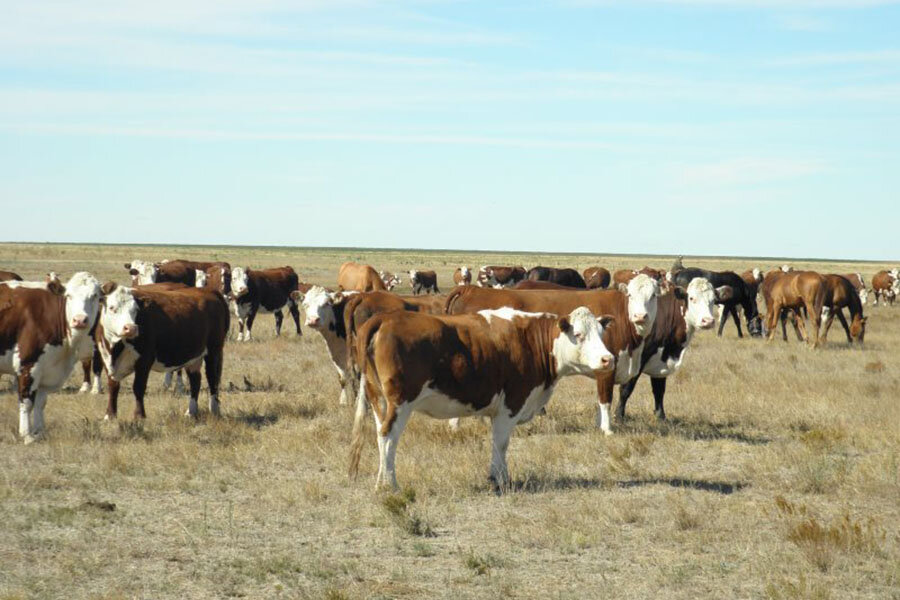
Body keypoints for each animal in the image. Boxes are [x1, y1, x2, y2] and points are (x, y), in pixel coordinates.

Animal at [0, 272, 101, 440]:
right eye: (69, 296)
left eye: (95, 296)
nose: (80, 320)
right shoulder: (28, 364)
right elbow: (26, 401)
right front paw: (26, 434)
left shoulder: (47, 368)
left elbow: (41, 403)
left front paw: (39, 431)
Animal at [94, 284, 227, 420]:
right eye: (112, 307)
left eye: (136, 309)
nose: (131, 328)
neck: (115, 348)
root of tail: (207, 290)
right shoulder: (106, 359)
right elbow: (113, 386)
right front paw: (110, 415)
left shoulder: (144, 360)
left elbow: (138, 387)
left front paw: (139, 416)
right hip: (194, 356)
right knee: (195, 380)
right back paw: (191, 412)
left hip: (213, 351)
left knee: (212, 378)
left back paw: (214, 410)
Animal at [348, 308, 616, 490]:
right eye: (578, 335)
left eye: (602, 333)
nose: (608, 359)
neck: (531, 341)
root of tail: (385, 318)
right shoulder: (511, 404)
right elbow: (501, 443)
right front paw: (500, 480)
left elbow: (497, 443)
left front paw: (498, 477)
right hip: (400, 402)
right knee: (389, 437)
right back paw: (391, 485)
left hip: (378, 399)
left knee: (379, 435)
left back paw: (381, 480)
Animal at [446, 274, 664, 434]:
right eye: (631, 296)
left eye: (653, 296)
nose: (640, 316)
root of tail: (470, 289)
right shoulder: (606, 367)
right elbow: (605, 399)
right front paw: (607, 429)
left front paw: (599, 425)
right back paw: (455, 426)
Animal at [620, 278, 732, 422]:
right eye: (691, 298)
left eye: (713, 299)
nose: (707, 321)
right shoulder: (636, 360)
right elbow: (626, 388)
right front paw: (619, 416)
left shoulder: (662, 360)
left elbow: (659, 390)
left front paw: (661, 417)